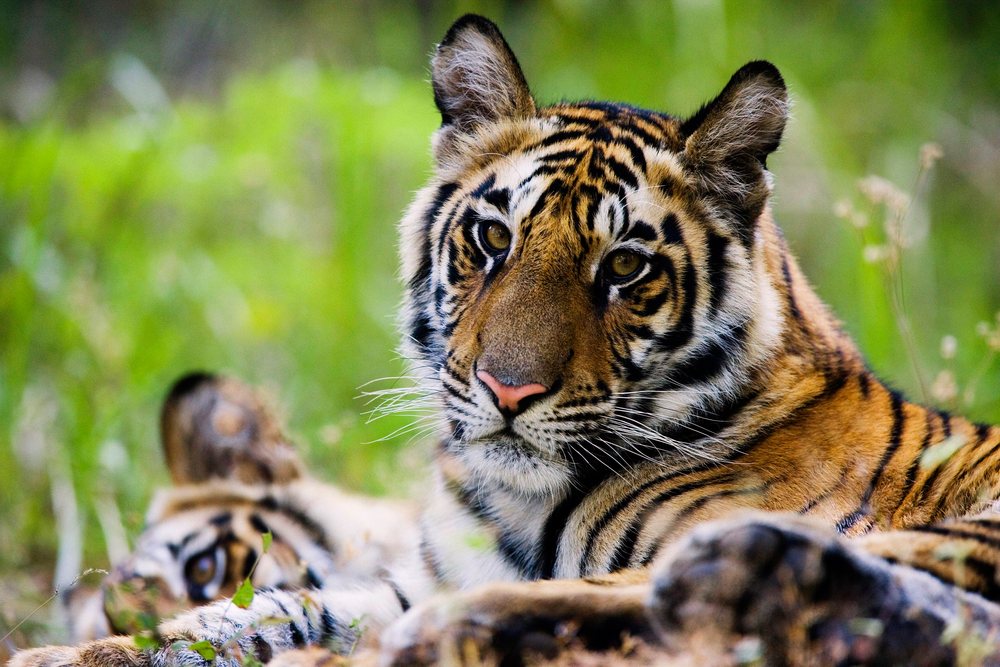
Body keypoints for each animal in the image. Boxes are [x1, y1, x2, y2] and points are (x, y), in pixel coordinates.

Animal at [13, 13, 1000, 667]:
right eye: (493, 239)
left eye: (625, 267)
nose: (508, 391)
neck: (513, 502)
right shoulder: (416, 572)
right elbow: (274, 610)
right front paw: (77, 650)